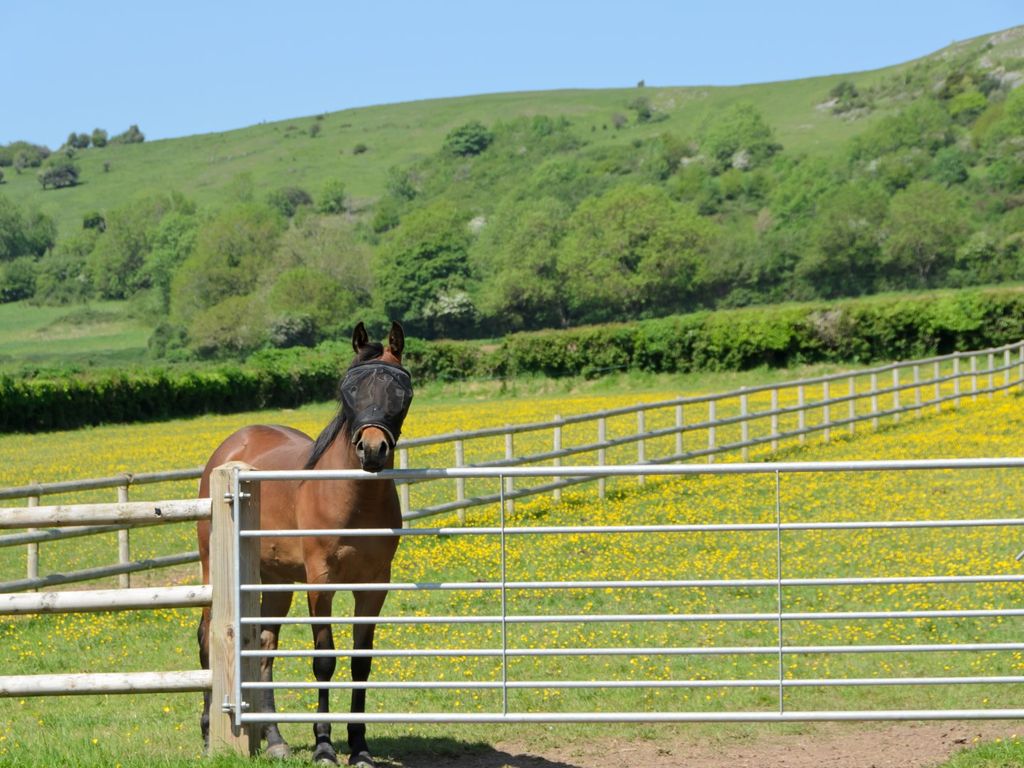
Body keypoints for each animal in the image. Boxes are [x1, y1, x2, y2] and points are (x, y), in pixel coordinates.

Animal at [195, 321, 411, 765]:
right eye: (349, 388)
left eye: (400, 390)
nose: (372, 449)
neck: (352, 498)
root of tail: (231, 448)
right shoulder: (320, 582)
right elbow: (324, 660)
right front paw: (324, 746)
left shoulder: (374, 585)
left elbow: (361, 663)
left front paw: (359, 747)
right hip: (215, 569)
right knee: (208, 635)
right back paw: (209, 732)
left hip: (277, 582)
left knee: (264, 647)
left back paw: (274, 739)